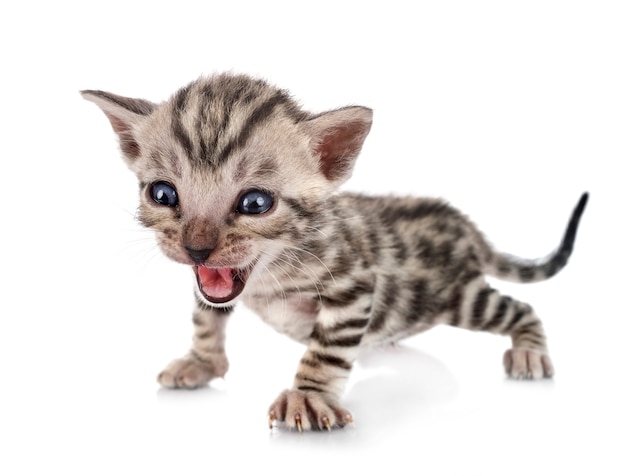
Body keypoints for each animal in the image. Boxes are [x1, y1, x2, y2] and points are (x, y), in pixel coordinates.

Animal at [81, 73, 584, 432]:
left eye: (256, 203)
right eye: (163, 193)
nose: (196, 248)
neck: (267, 276)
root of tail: (463, 224)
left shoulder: (354, 284)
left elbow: (327, 348)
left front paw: (309, 395)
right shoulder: (211, 284)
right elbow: (206, 317)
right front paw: (203, 361)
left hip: (459, 298)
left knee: (521, 308)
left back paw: (529, 352)